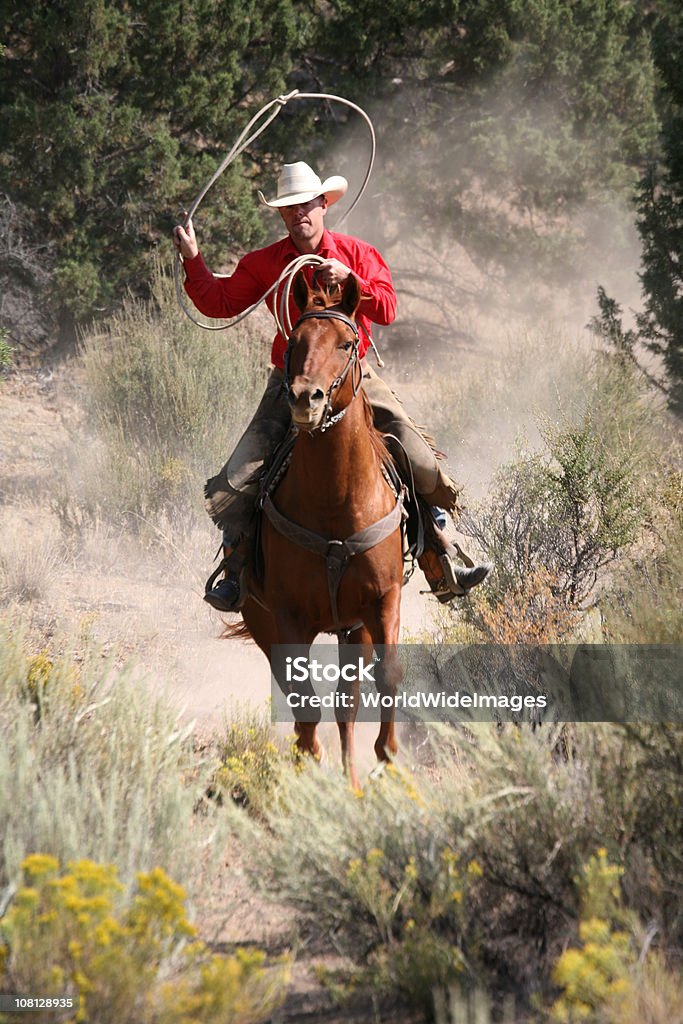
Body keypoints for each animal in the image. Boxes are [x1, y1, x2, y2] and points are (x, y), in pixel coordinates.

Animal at [229, 268, 403, 786]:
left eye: (347, 343)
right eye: (295, 342)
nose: (306, 398)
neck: (336, 504)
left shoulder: (383, 602)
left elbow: (387, 676)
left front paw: (388, 757)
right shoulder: (288, 618)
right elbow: (304, 702)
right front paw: (309, 762)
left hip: (352, 629)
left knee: (348, 703)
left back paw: (351, 779)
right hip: (263, 622)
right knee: (301, 696)